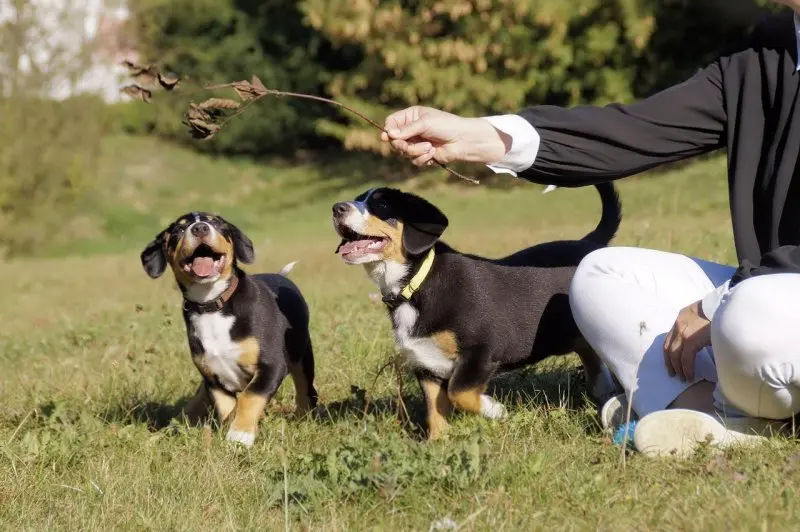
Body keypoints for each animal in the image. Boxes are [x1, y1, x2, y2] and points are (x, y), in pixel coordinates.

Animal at [142, 211, 318, 444]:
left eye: (215, 223)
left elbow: (250, 396)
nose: (200, 228)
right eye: (179, 229)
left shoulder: (272, 365)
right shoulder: (213, 378)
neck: (212, 305)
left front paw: (240, 434)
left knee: (306, 392)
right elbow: (227, 407)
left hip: (302, 357)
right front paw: (230, 428)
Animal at [332, 185, 620, 438]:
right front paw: (438, 443)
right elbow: (435, 410)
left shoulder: (480, 352)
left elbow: (459, 392)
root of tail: (589, 242)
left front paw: (495, 409)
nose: (337, 208)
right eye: (357, 199)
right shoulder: (425, 364)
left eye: (381, 205)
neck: (414, 285)